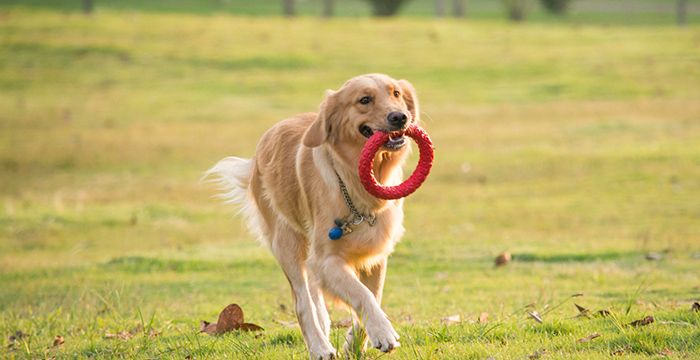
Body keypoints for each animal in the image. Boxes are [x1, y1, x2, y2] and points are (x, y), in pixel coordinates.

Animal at [205, 74, 418, 360]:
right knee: (303, 302)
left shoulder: (374, 255)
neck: (354, 182)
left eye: (396, 94)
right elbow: (361, 294)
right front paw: (383, 332)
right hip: (287, 243)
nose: (400, 117)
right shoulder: (326, 259)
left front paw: (355, 344)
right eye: (364, 100)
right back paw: (319, 346)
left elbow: (373, 294)